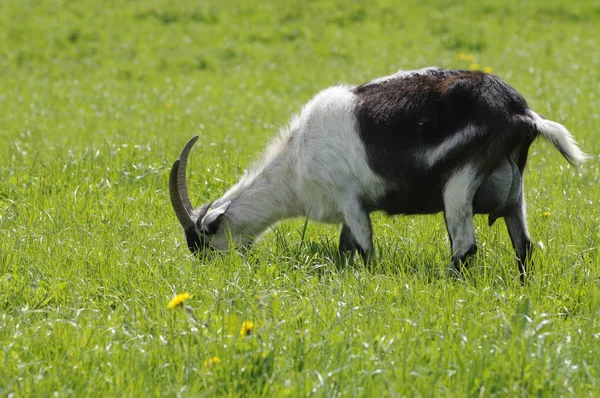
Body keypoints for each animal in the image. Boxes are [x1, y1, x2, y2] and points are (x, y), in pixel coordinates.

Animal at [169, 67, 584, 282]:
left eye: (204, 241)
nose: (206, 275)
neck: (296, 157)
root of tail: (520, 113)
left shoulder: (351, 199)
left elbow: (365, 249)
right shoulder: (348, 211)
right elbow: (345, 247)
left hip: (460, 182)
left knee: (464, 246)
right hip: (515, 192)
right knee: (524, 244)